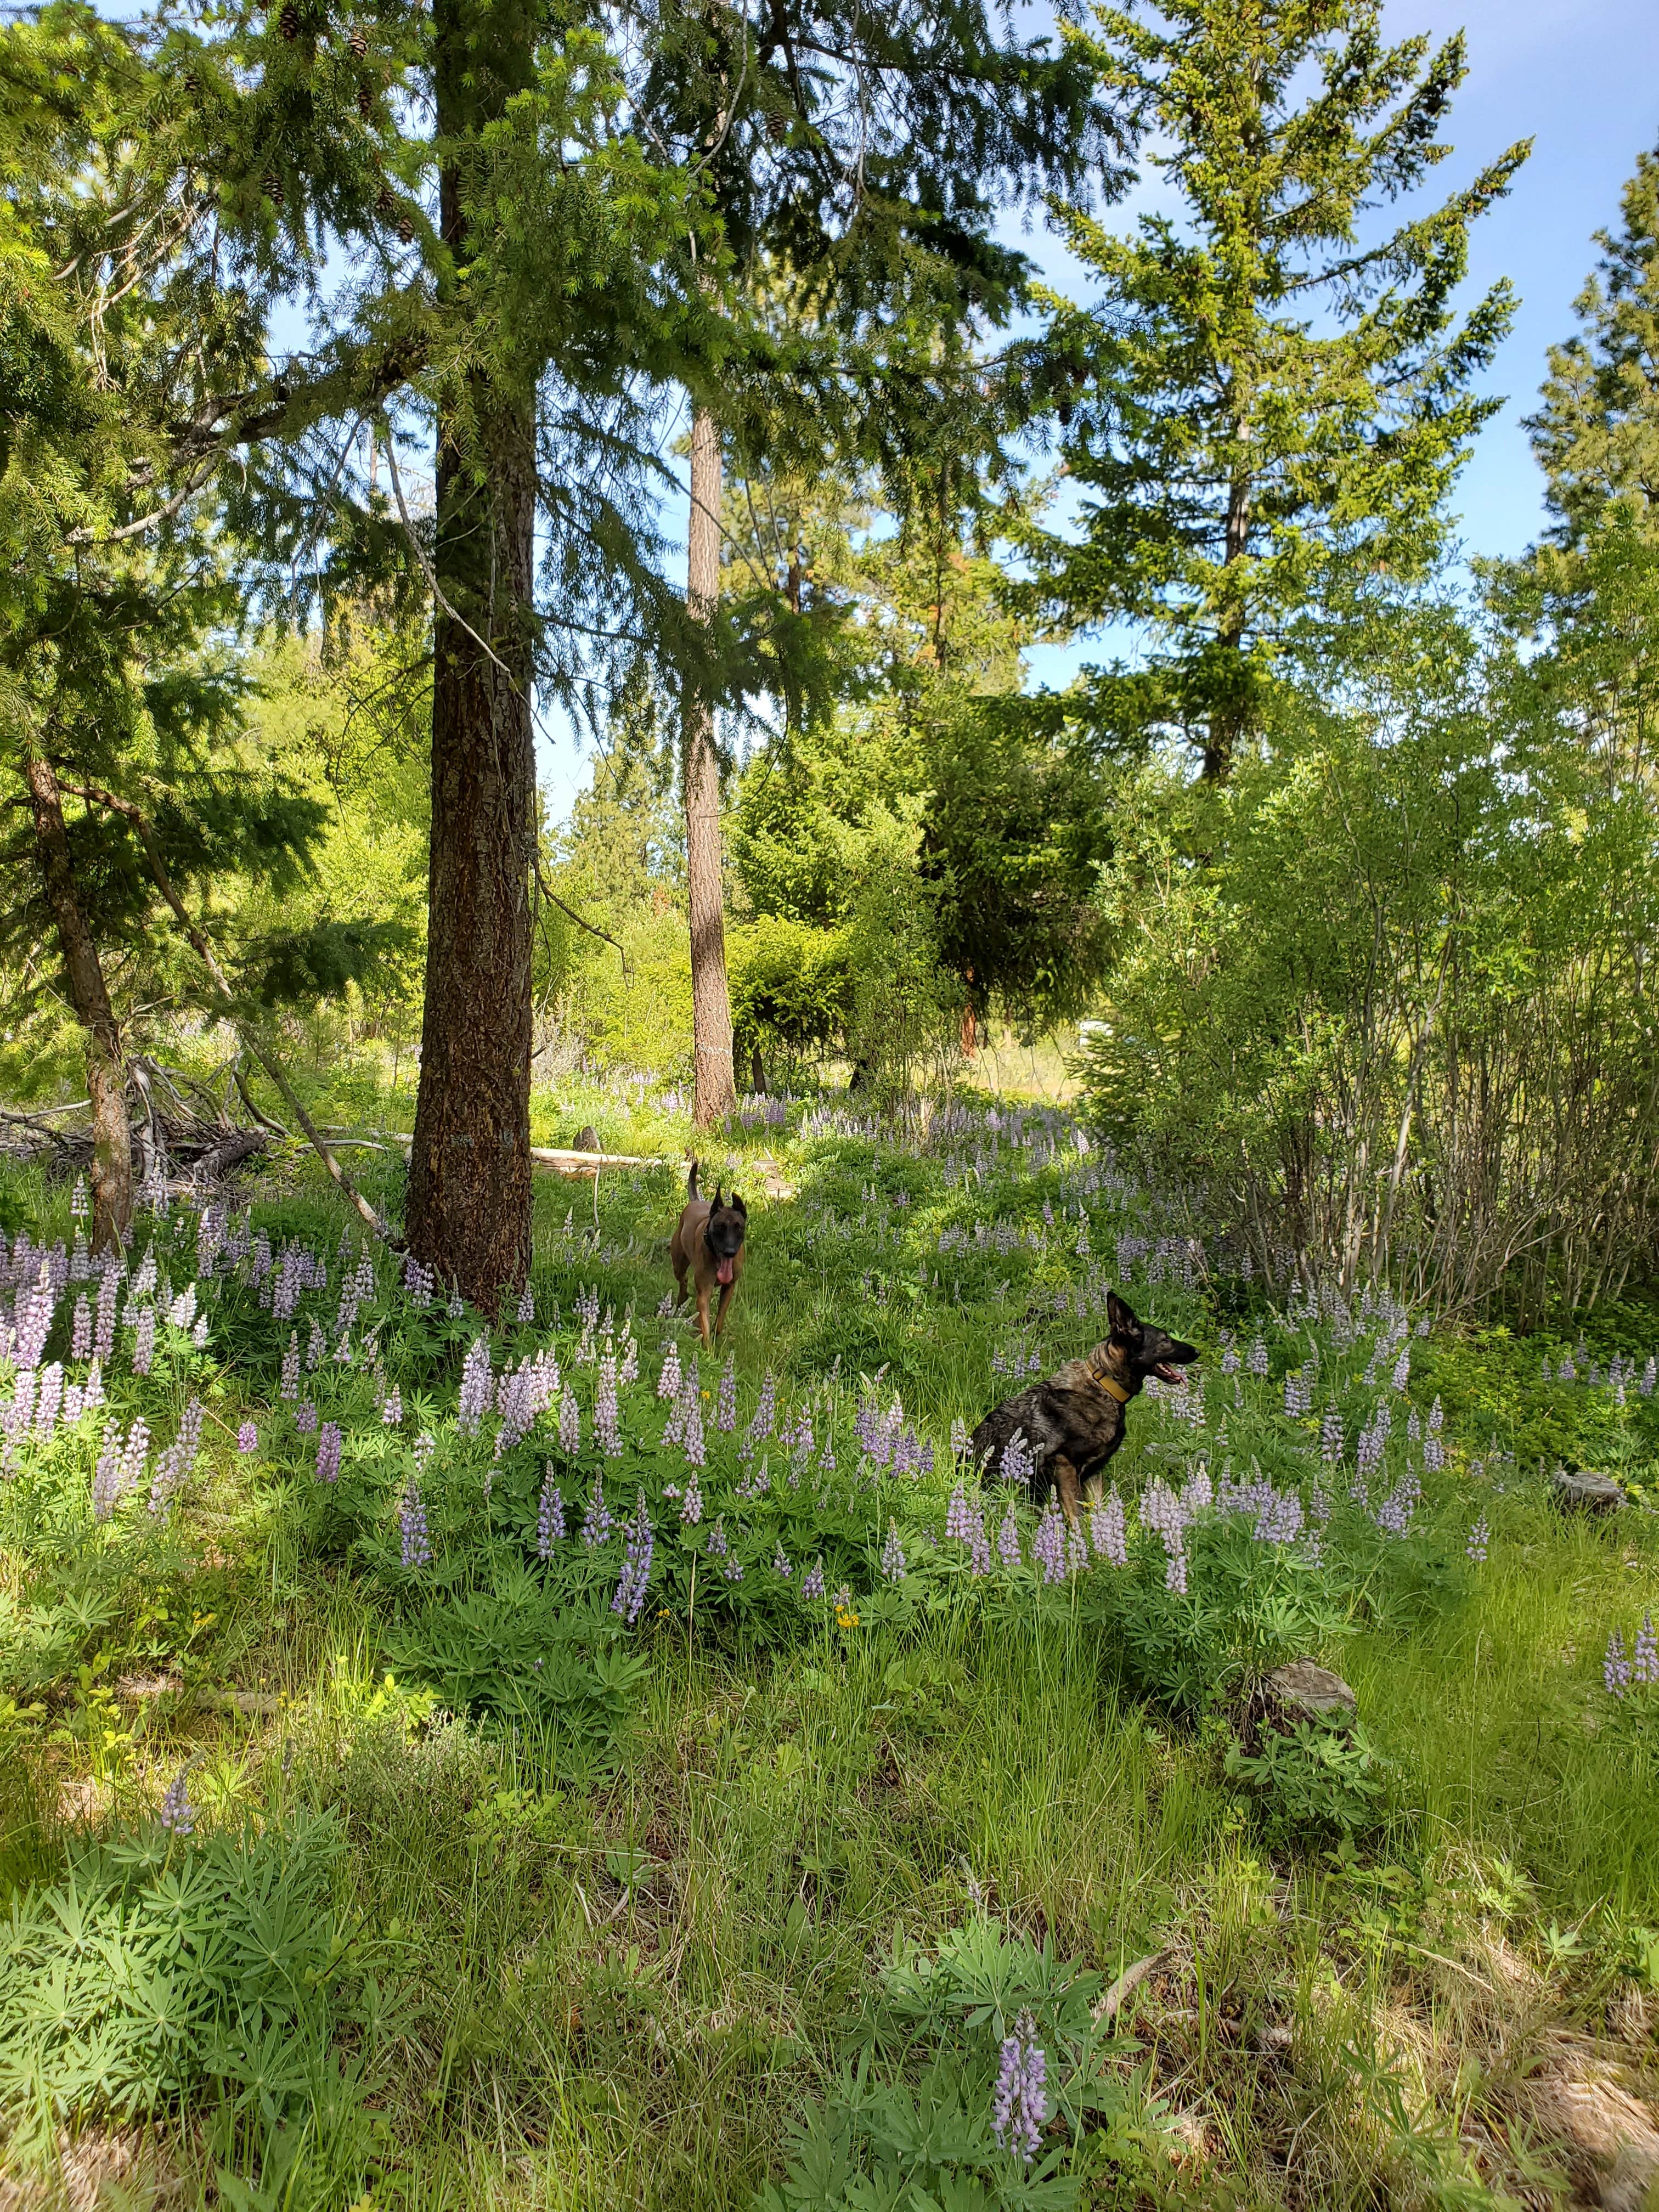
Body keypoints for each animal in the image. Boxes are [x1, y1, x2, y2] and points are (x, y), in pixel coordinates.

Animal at [676, 1159, 752, 1345]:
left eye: (739, 1227)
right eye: (719, 1227)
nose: (730, 1252)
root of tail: (696, 1201)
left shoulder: (729, 1287)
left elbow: (720, 1318)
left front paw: (717, 1336)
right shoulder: (704, 1293)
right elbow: (706, 1326)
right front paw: (708, 1348)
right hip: (678, 1263)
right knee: (683, 1279)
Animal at [973, 1283, 1194, 1522]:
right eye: (1165, 1340)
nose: (1197, 1351)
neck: (1105, 1385)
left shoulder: (1094, 1472)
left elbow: (1098, 1509)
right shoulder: (1064, 1463)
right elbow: (1077, 1514)